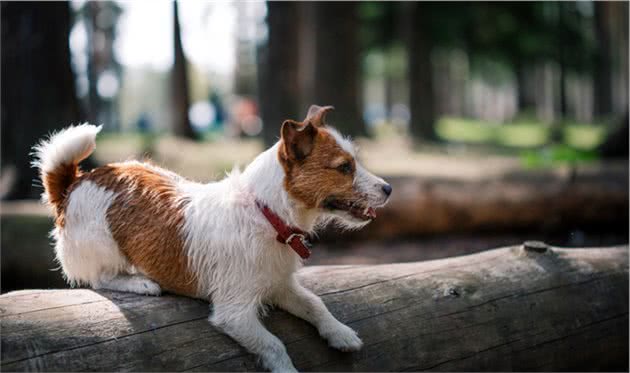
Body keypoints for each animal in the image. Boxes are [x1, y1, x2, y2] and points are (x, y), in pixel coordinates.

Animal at [34, 105, 392, 372]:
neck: (265, 212)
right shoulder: (235, 313)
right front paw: (288, 367)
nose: (389, 188)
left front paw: (340, 333)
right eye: (344, 168)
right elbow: (274, 344)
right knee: (98, 278)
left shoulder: (279, 284)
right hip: (103, 245)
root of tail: (73, 183)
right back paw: (140, 282)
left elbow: (315, 304)